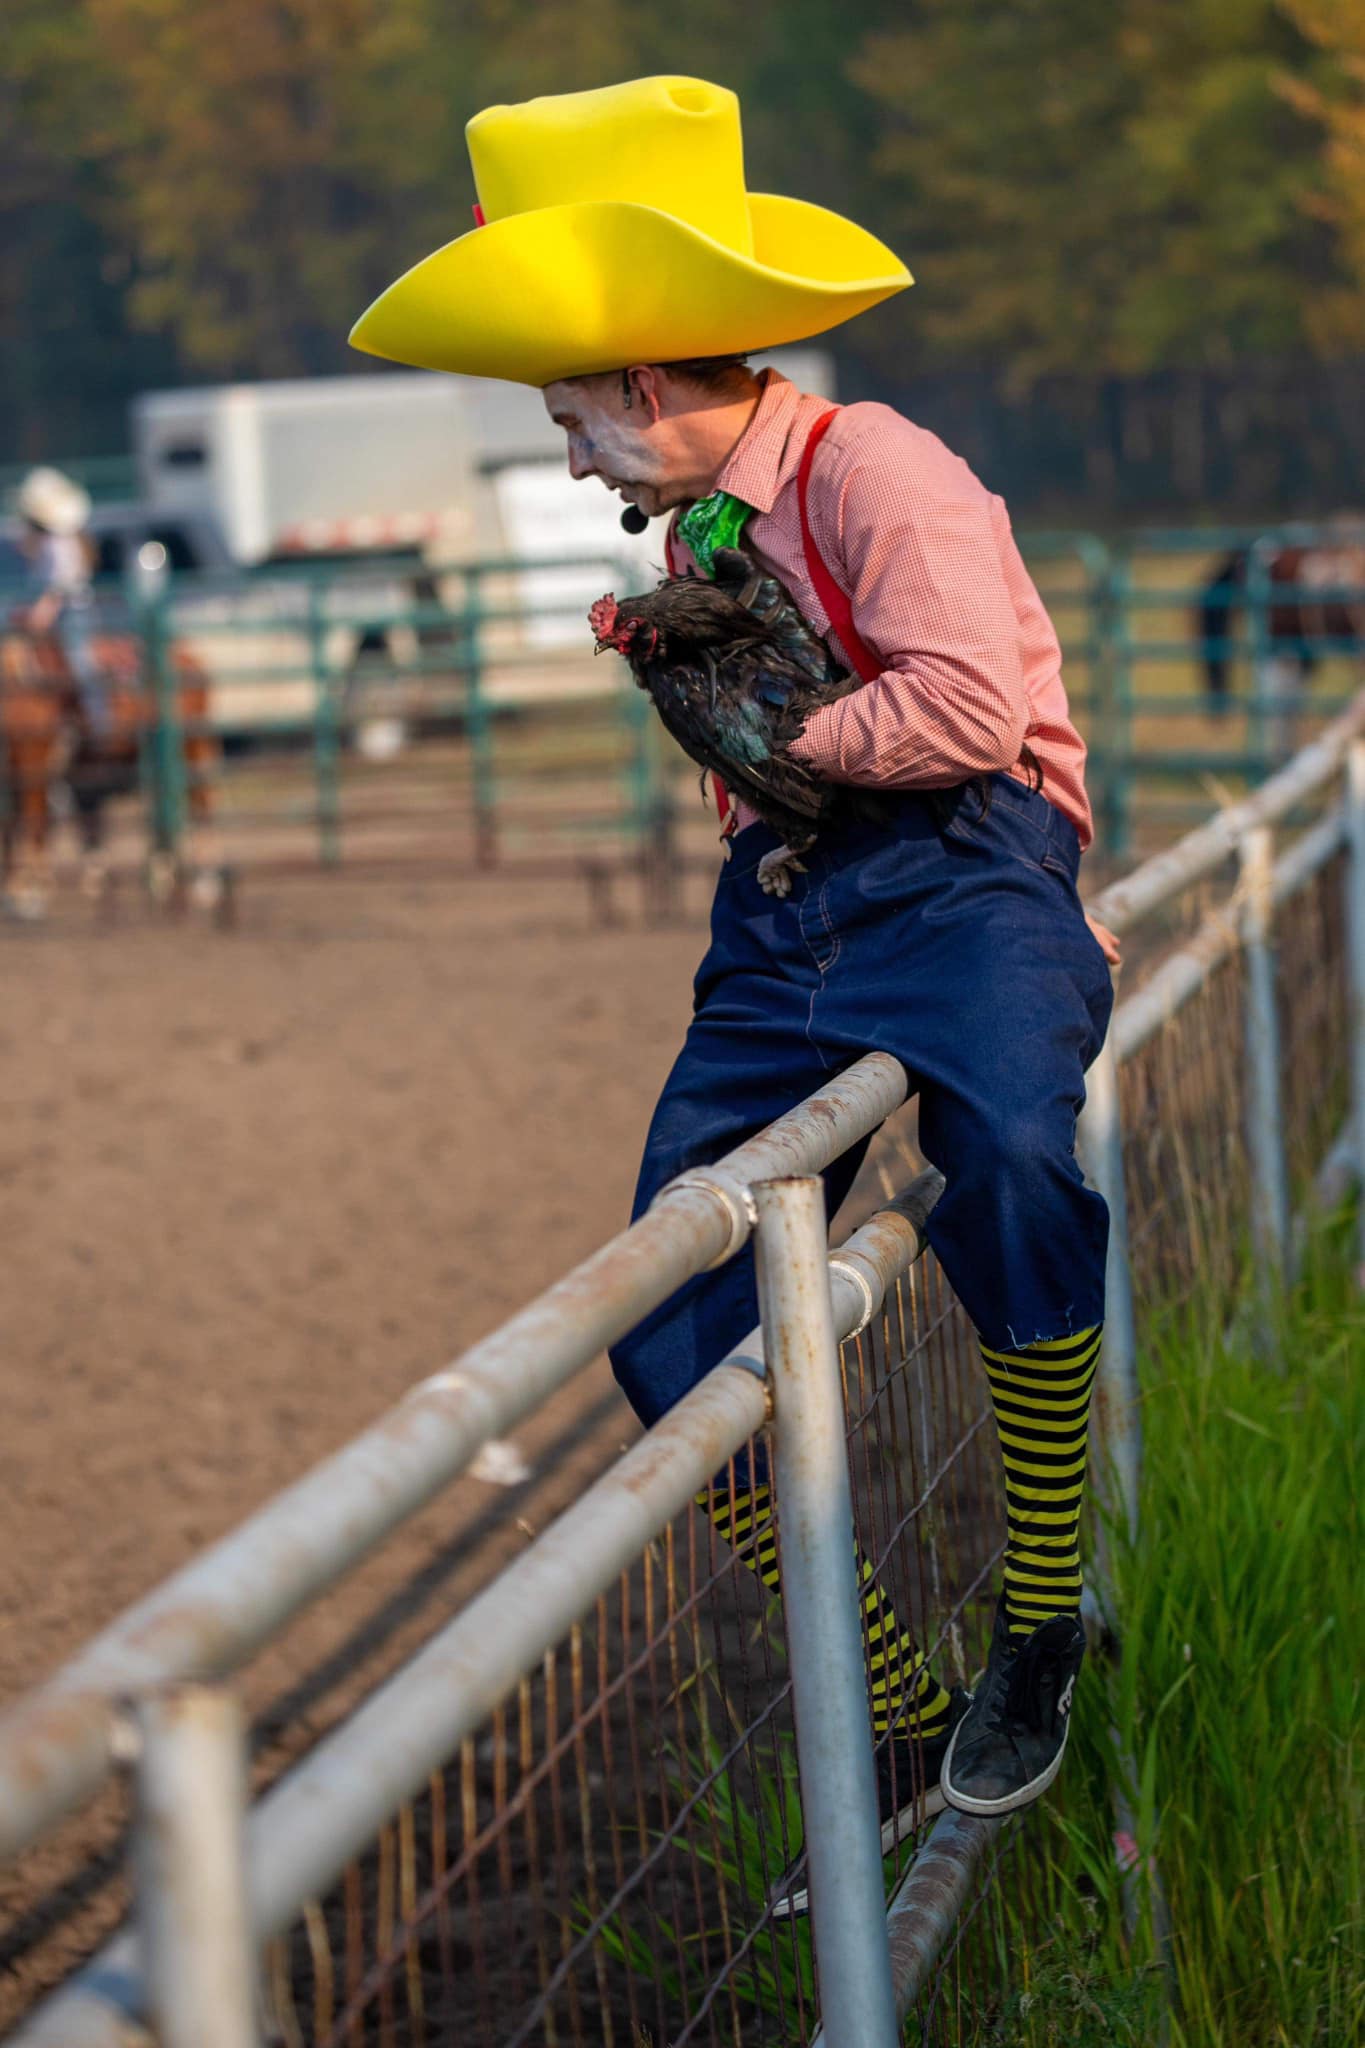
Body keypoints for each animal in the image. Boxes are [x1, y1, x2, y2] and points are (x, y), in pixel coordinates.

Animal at [1, 618, 218, 917]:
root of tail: (192, 660)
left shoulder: (34, 763)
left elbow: (34, 822)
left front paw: (29, 893)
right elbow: (13, 826)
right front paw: (16, 890)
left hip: (192, 745)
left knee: (201, 801)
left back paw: (203, 884)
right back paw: (161, 878)